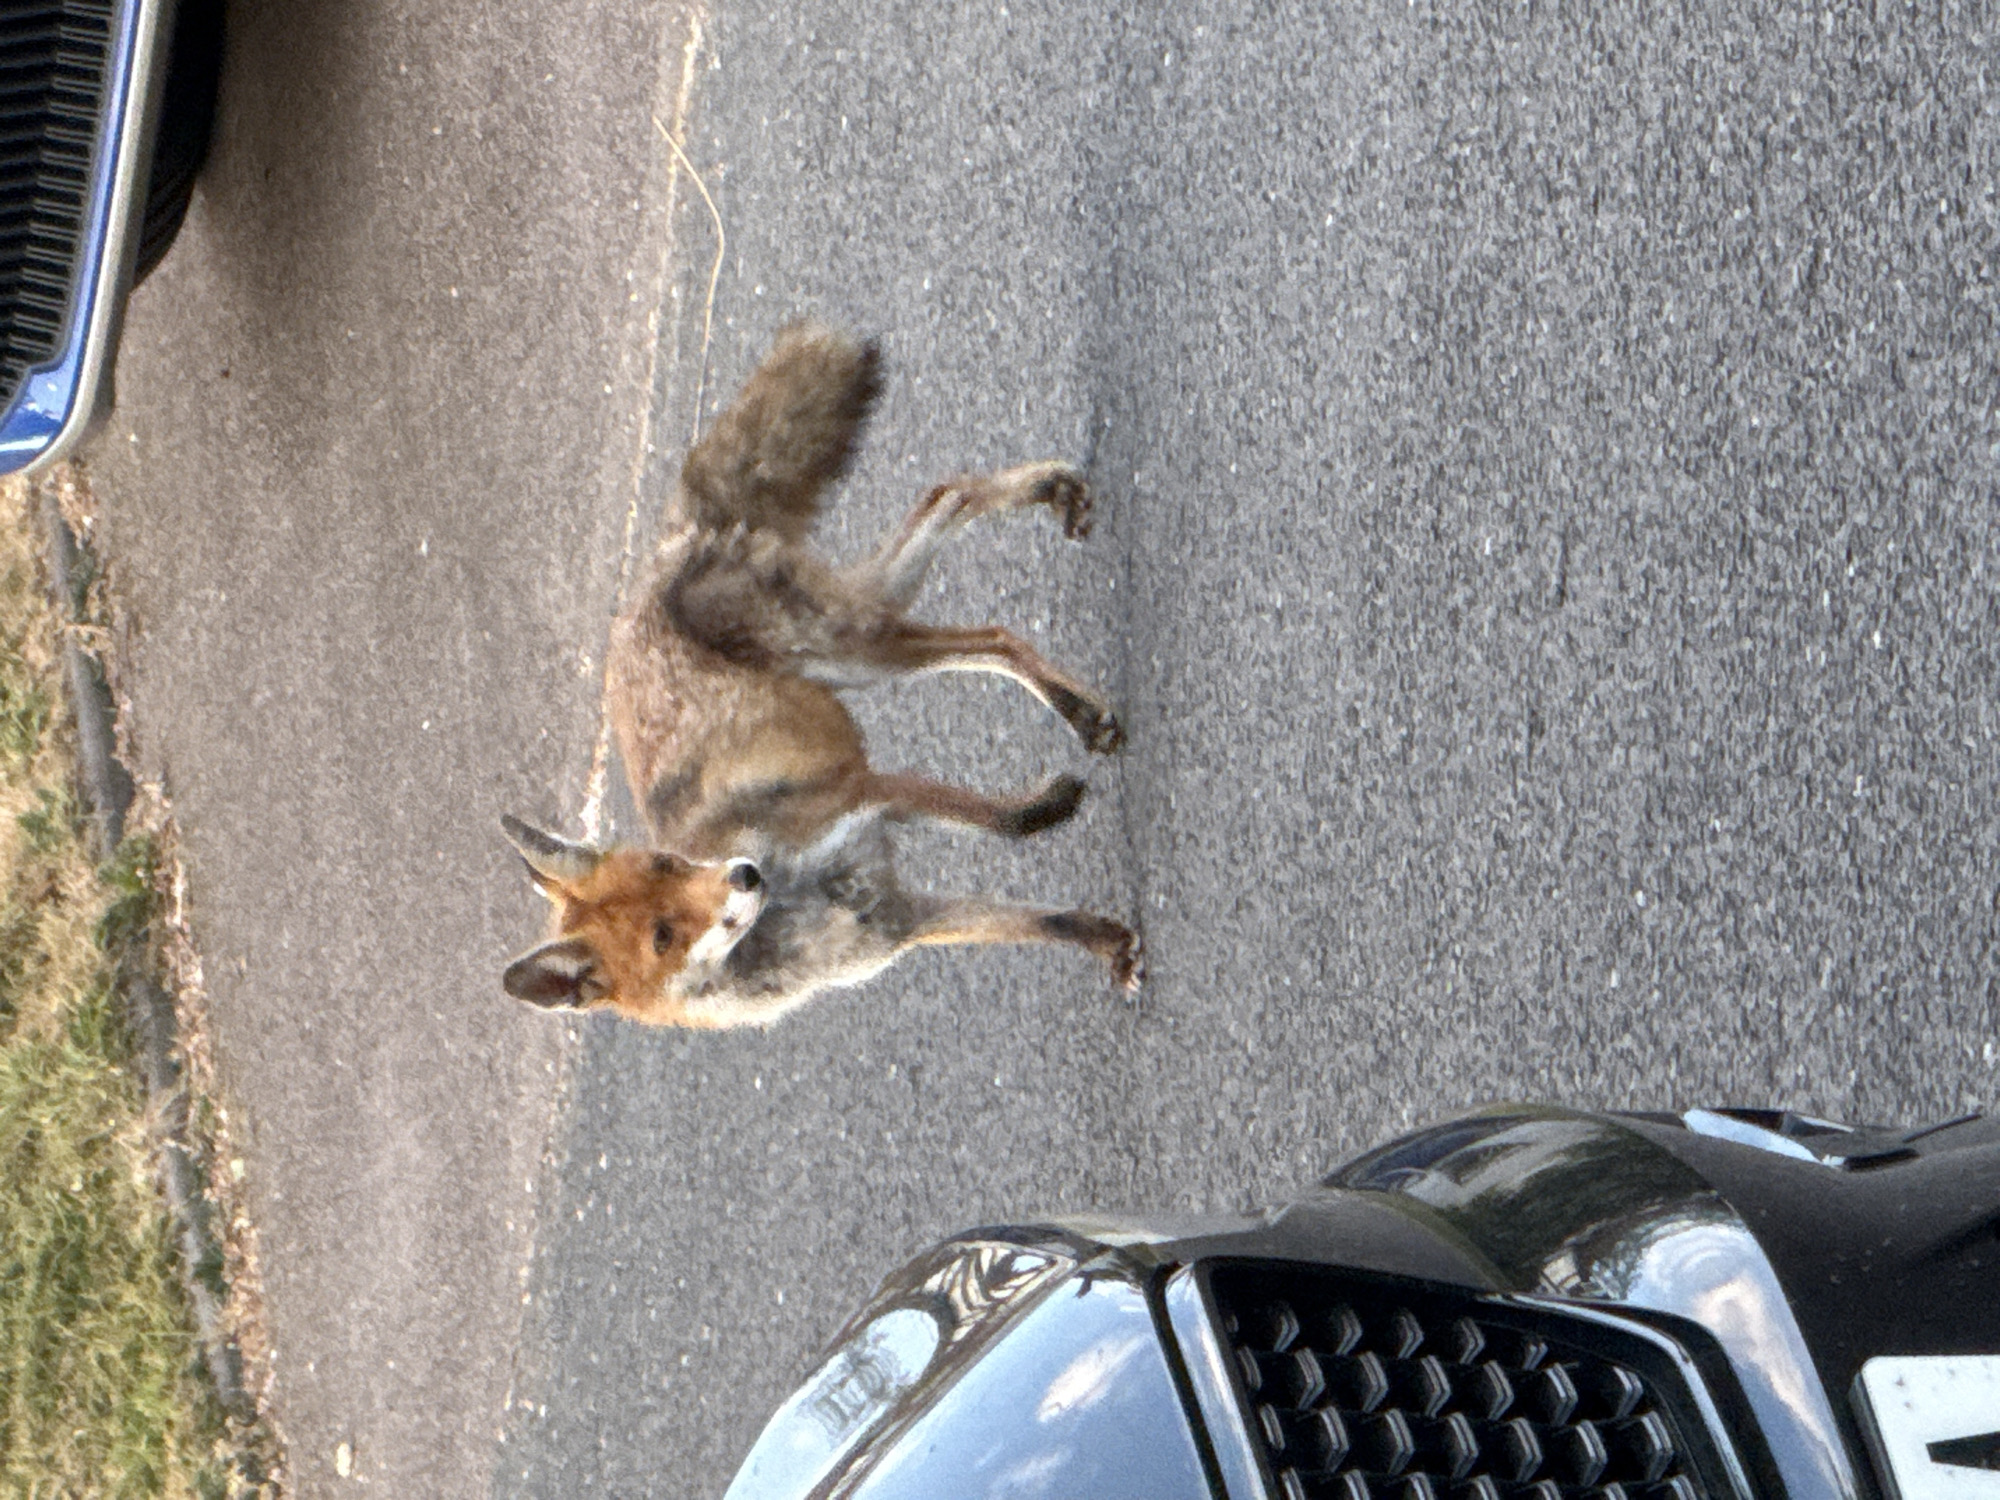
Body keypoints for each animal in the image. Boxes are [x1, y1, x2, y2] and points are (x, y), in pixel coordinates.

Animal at [501, 321, 1143, 1028]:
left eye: (672, 862)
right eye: (661, 936)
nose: (744, 876)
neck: (795, 902)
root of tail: (664, 548)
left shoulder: (871, 795)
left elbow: (1005, 824)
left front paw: (1051, 810)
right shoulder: (895, 924)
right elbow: (1043, 921)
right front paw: (1108, 941)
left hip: (848, 643)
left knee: (974, 576)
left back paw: (1056, 514)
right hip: (862, 652)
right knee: (958, 559)